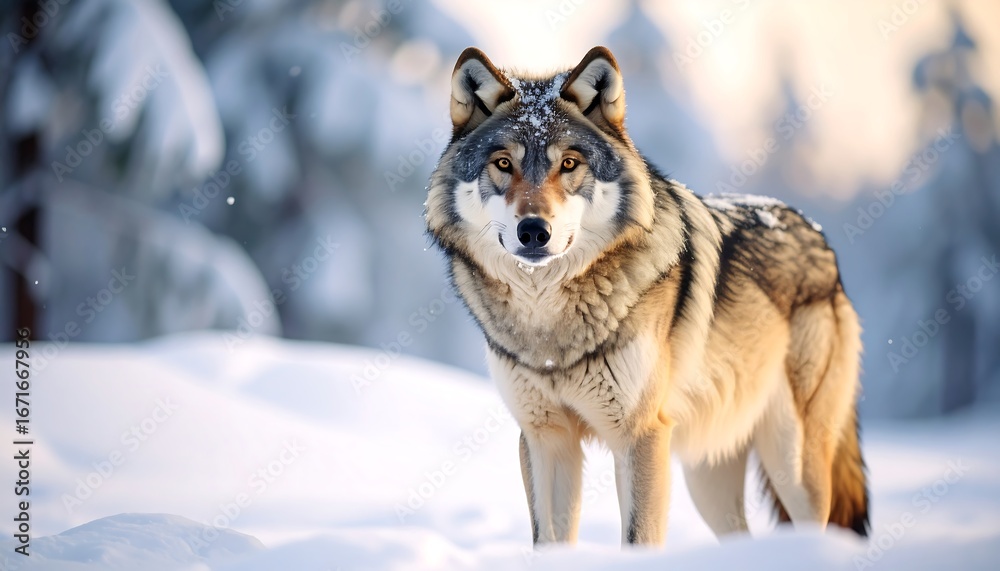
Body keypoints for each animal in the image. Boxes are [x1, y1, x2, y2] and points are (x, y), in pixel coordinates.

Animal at [425, 46, 869, 546]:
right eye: (503, 164)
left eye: (569, 164)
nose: (534, 231)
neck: (549, 323)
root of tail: (819, 237)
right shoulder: (544, 438)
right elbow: (549, 542)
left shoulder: (641, 436)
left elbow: (639, 539)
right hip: (707, 477)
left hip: (791, 465)